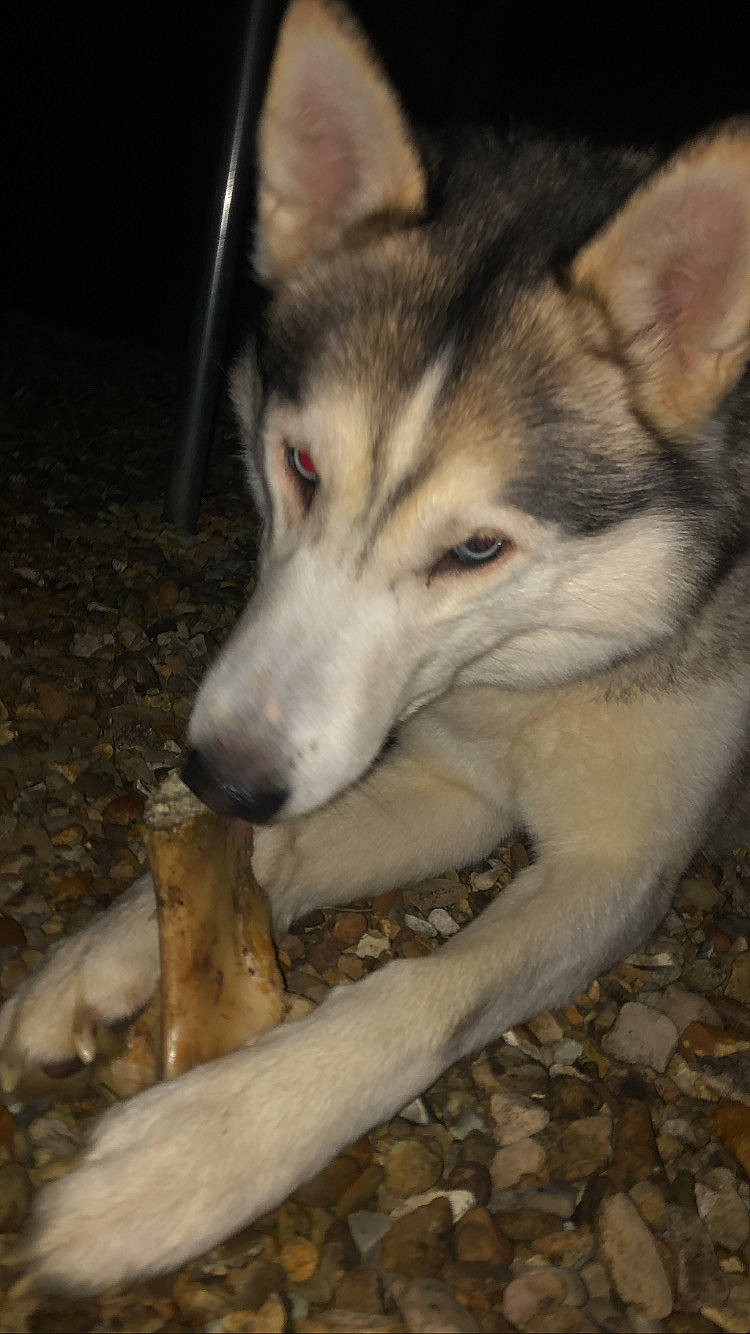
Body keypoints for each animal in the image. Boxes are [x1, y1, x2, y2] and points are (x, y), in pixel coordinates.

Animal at [1, 0, 749, 1292]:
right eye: (300, 464)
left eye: (478, 548)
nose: (220, 772)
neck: (540, 674)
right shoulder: (451, 777)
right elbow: (291, 845)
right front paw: (106, 953)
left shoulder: (623, 867)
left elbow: (431, 988)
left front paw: (192, 1153)